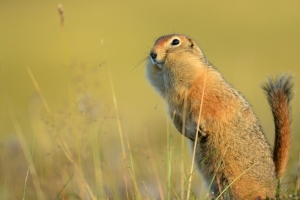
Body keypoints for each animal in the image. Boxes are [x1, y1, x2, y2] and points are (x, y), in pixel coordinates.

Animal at [145, 34, 292, 198]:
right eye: (155, 41)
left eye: (175, 41)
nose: (152, 54)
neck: (184, 87)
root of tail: (275, 182)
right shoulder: (173, 108)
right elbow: (177, 121)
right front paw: (191, 134)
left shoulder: (204, 96)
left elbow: (205, 111)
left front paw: (201, 128)